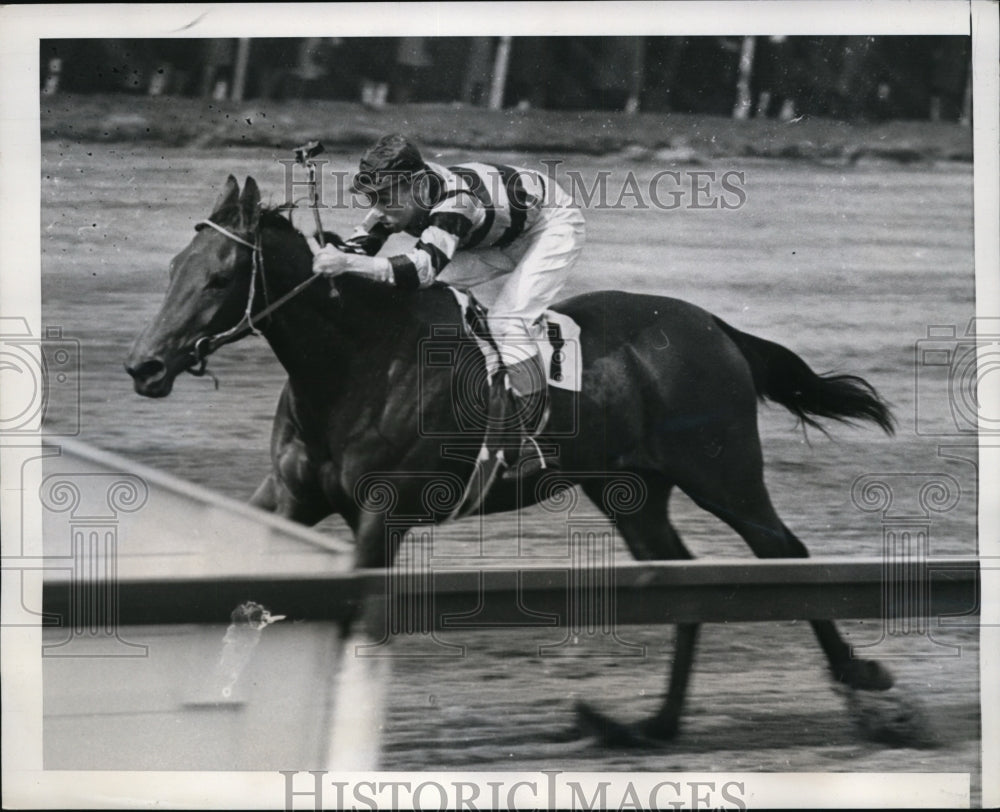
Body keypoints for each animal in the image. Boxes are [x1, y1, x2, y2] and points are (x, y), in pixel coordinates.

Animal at [127, 178, 900, 748]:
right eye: (173, 268)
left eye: (221, 275)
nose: (145, 366)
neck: (358, 361)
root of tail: (714, 326)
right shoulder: (289, 495)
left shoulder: (382, 516)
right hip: (631, 491)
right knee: (683, 584)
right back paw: (649, 725)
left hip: (723, 473)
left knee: (786, 554)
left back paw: (863, 687)